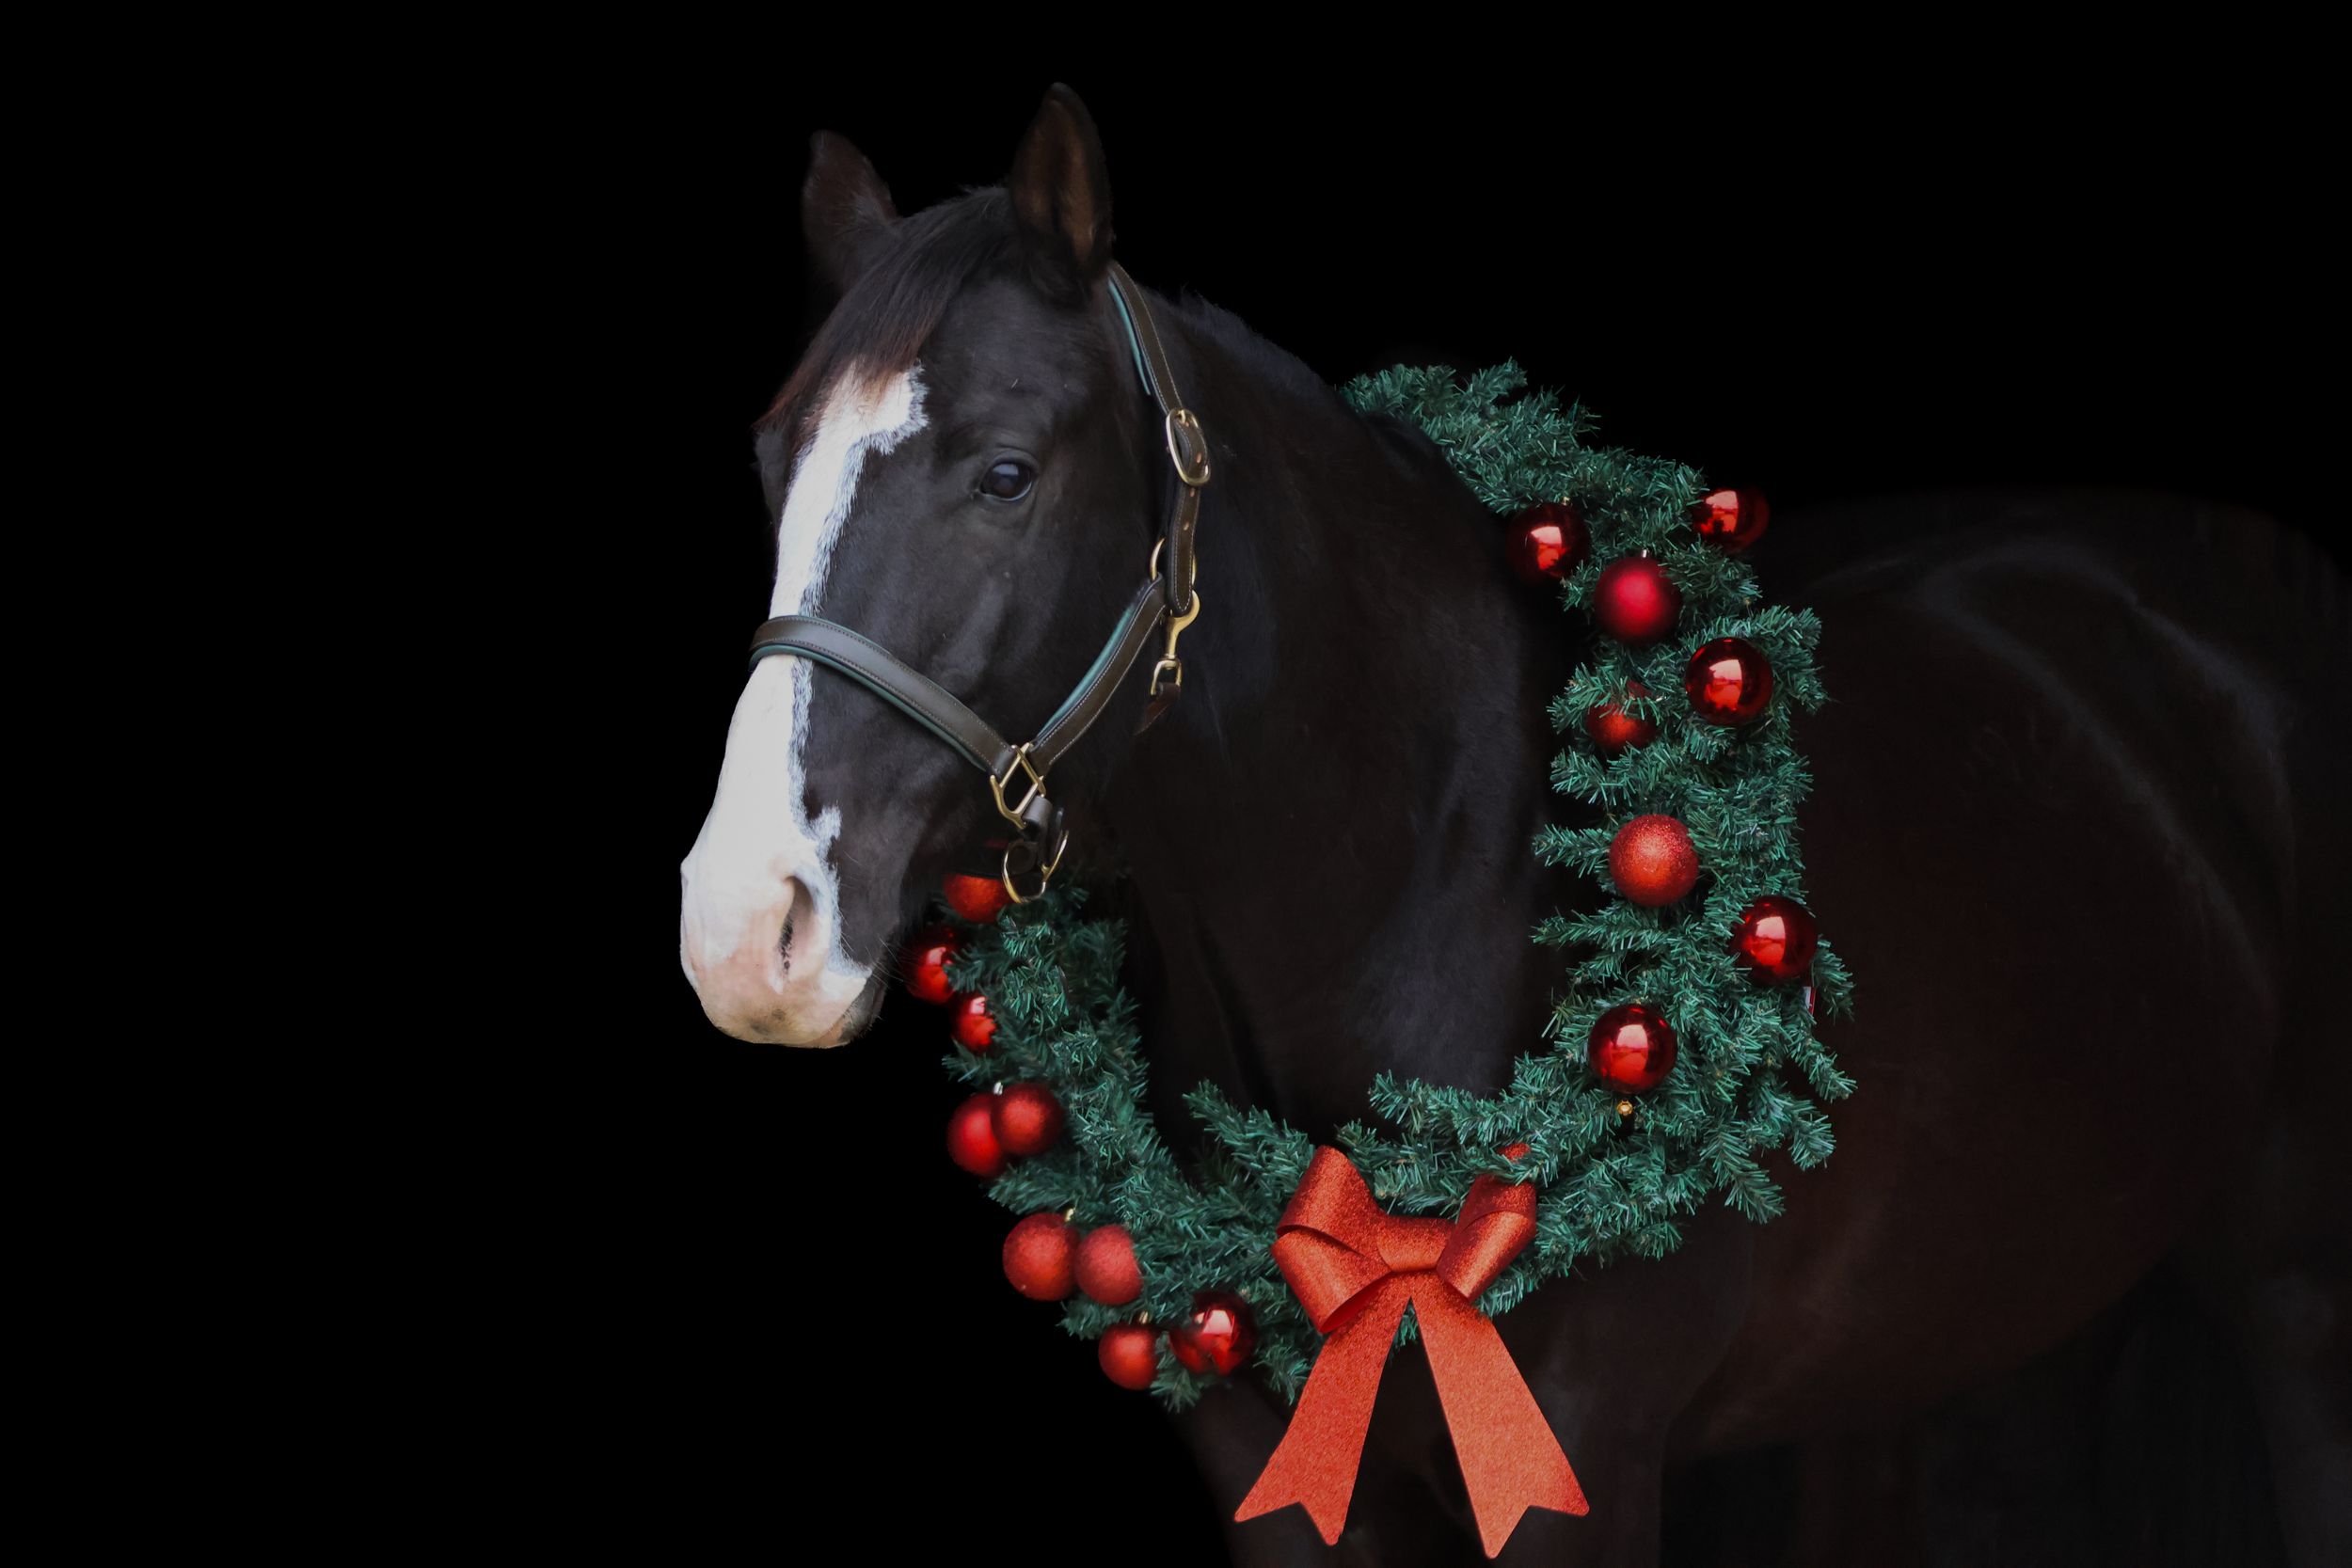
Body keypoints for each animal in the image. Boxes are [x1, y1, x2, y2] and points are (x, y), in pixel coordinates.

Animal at [676, 85, 2348, 1566]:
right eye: (769, 461)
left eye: (1007, 472)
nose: (745, 927)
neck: (1436, 899)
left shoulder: (1573, 1468)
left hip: (2290, 1300)